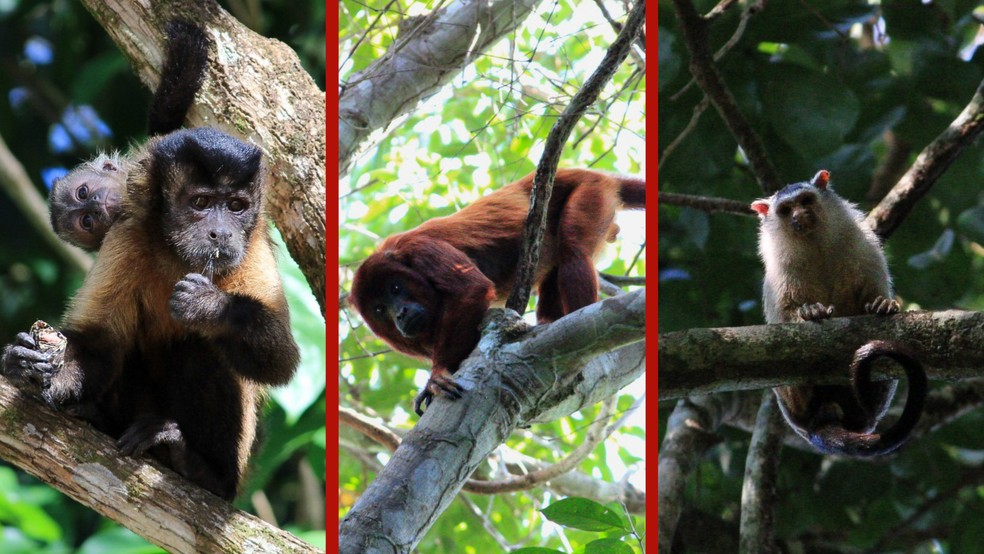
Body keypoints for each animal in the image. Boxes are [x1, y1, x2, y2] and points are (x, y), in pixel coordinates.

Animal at [350, 168, 646, 415]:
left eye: (395, 287)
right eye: (380, 308)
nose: (399, 313)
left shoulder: (419, 247)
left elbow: (471, 288)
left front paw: (436, 376)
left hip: (589, 192)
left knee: (573, 250)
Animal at [750, 169, 927, 457]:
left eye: (806, 201)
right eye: (786, 210)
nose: (799, 215)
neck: (815, 244)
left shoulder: (866, 249)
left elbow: (873, 292)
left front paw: (882, 304)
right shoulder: (779, 273)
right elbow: (783, 316)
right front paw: (809, 312)